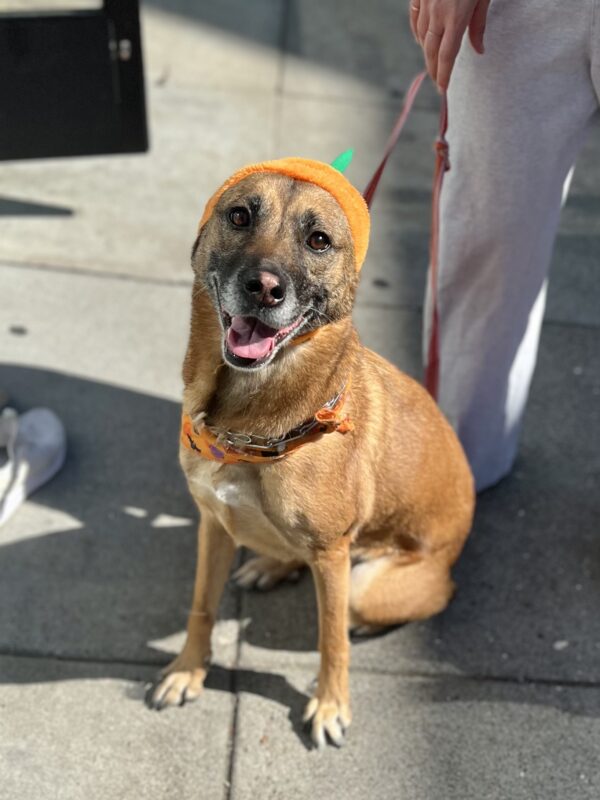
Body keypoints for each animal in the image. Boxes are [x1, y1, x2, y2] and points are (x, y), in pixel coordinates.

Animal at [145, 166, 474, 748]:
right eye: (239, 215)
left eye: (319, 240)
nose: (264, 288)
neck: (253, 432)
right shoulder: (213, 524)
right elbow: (201, 607)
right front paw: (188, 670)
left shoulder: (331, 556)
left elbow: (330, 640)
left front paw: (330, 705)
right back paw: (270, 565)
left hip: (366, 580)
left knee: (359, 609)